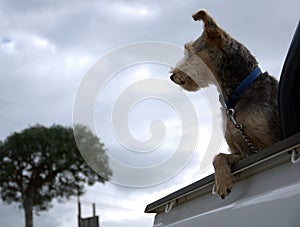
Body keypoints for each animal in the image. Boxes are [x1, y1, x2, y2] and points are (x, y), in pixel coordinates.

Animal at [170, 10, 282, 199]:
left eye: (190, 53)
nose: (172, 75)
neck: (236, 95)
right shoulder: (240, 151)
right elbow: (218, 156)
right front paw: (222, 182)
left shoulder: (271, 141)